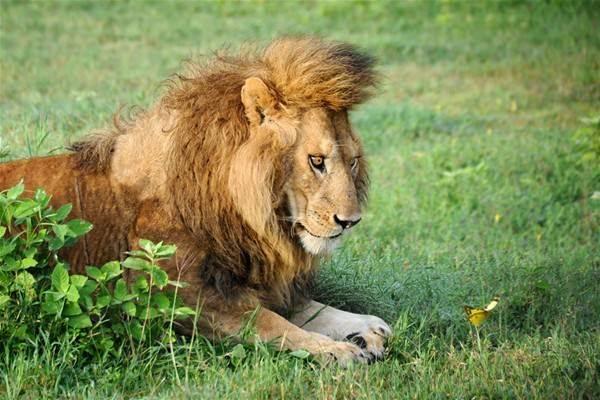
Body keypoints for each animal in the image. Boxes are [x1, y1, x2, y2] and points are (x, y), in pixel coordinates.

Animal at [0, 38, 392, 366]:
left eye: (353, 162)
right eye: (316, 161)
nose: (350, 221)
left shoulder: (253, 281)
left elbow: (310, 309)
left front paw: (366, 328)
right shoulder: (174, 296)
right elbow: (270, 324)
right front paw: (337, 350)